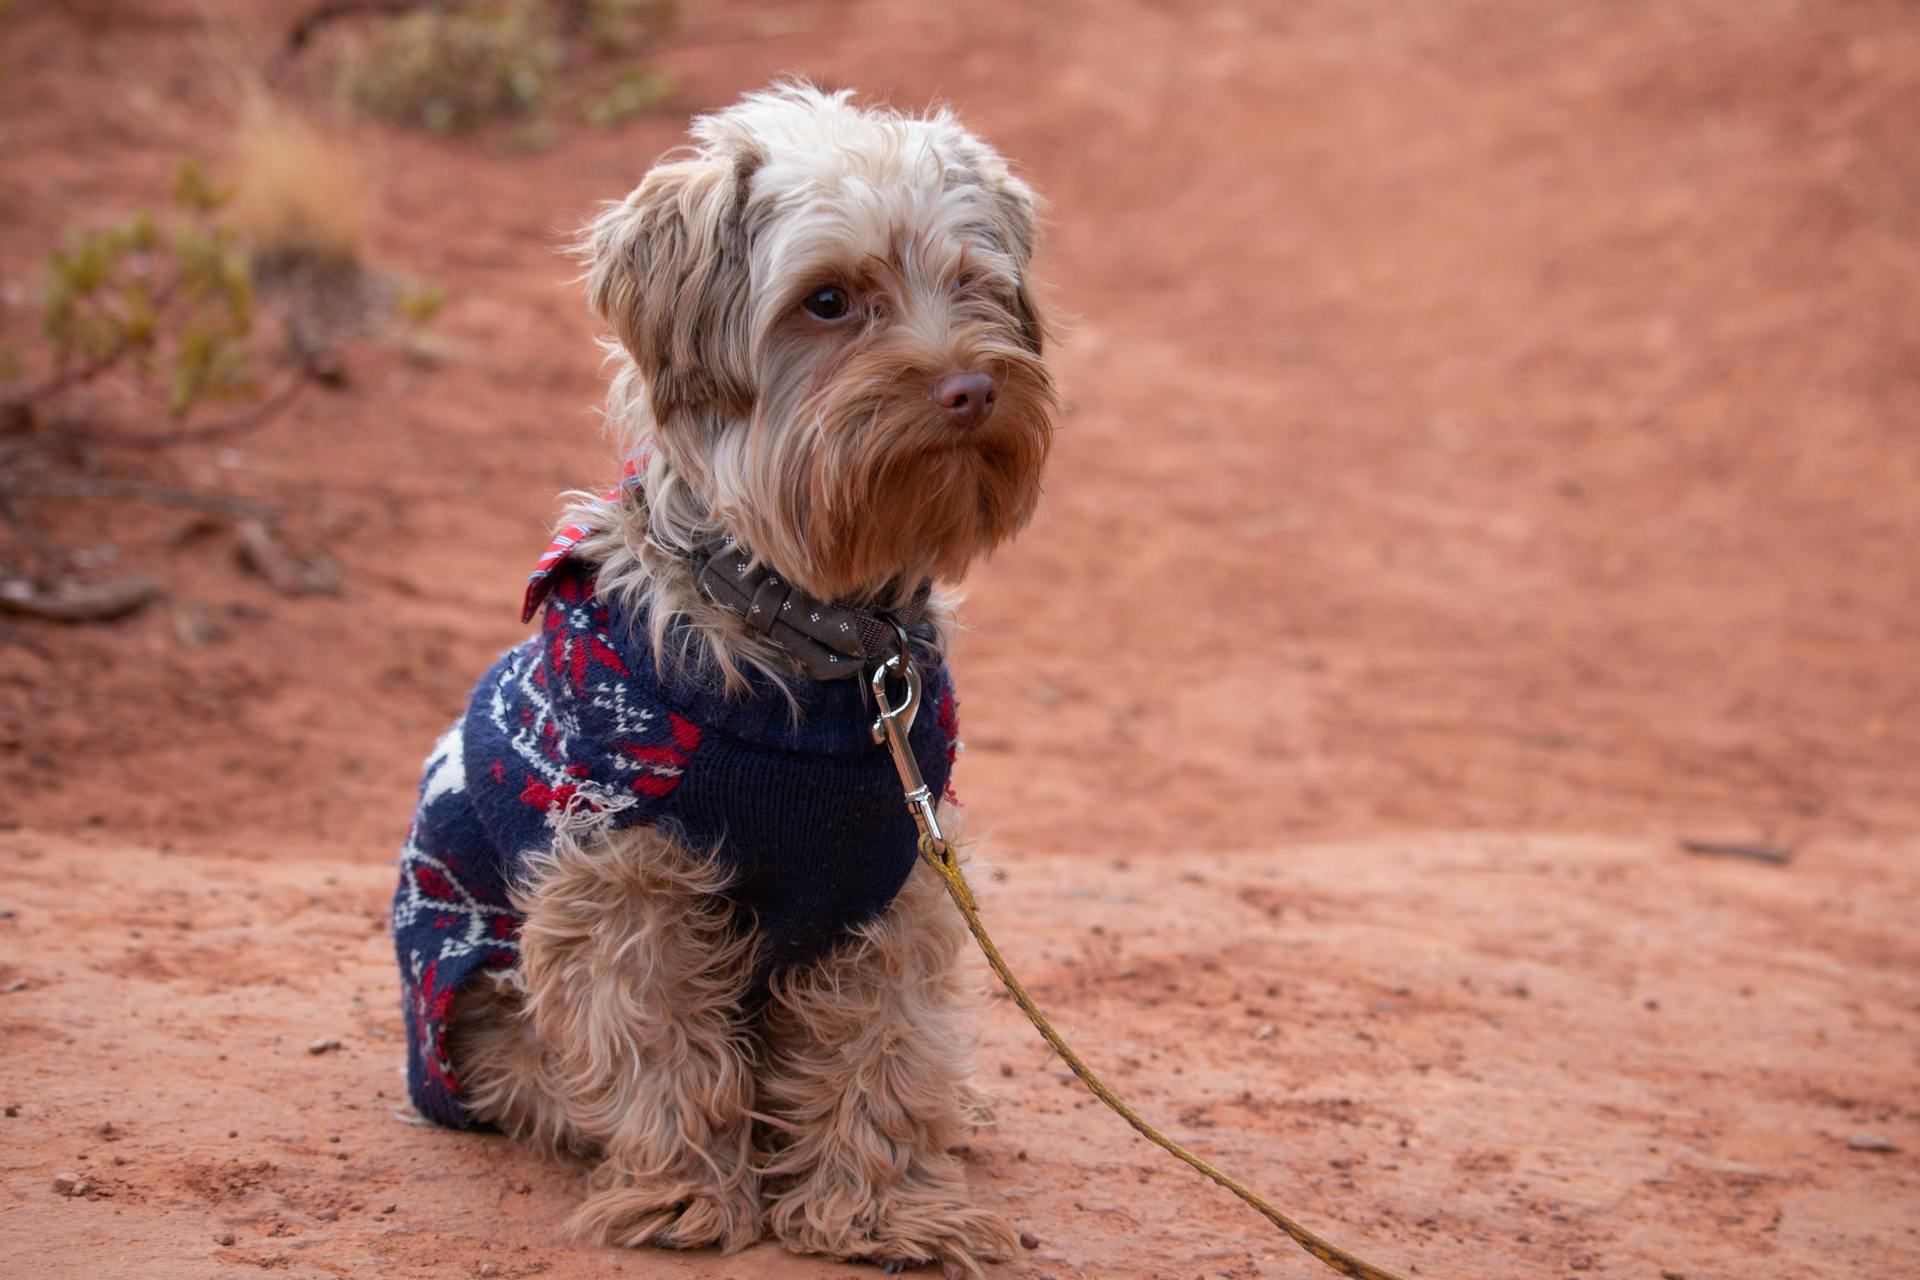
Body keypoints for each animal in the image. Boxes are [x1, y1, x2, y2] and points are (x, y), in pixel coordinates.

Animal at [385, 84, 1052, 1274]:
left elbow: (881, 1044)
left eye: (977, 287)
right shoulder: (622, 869)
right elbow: (653, 1036)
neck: (824, 643)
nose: (974, 388)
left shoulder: (891, 876)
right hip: (479, 1011)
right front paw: (689, 1192)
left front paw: (880, 1207)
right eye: (828, 301)